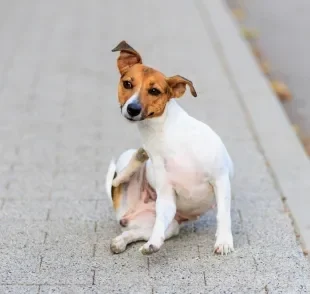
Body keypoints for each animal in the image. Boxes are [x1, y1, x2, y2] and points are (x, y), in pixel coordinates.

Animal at [105, 40, 234, 255]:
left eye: (154, 91)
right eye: (128, 84)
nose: (133, 109)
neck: (163, 135)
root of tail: (128, 214)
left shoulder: (221, 179)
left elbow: (223, 214)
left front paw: (224, 241)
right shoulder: (166, 197)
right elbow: (159, 225)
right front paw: (154, 243)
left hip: (171, 226)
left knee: (137, 231)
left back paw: (121, 241)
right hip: (127, 161)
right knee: (117, 180)